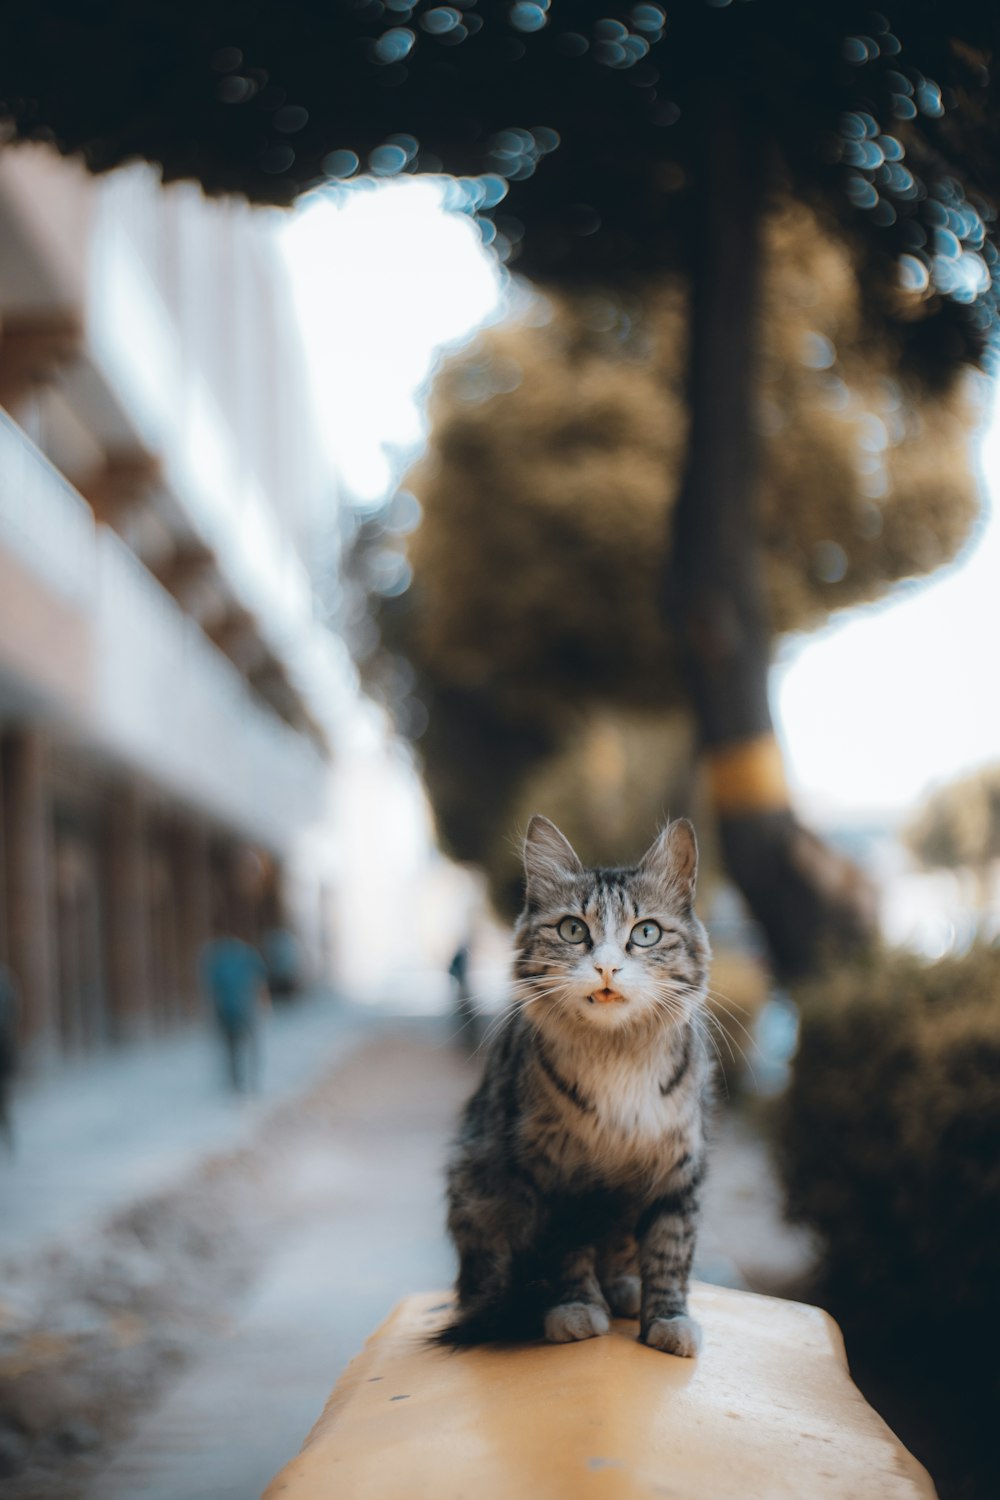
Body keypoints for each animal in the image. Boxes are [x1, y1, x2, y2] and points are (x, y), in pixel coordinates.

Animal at [443, 816, 710, 1356]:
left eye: (646, 933)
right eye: (573, 930)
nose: (606, 967)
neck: (616, 1055)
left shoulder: (677, 1167)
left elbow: (670, 1251)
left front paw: (668, 1319)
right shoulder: (555, 1177)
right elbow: (566, 1253)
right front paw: (575, 1310)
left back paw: (626, 1290)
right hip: (474, 1185)